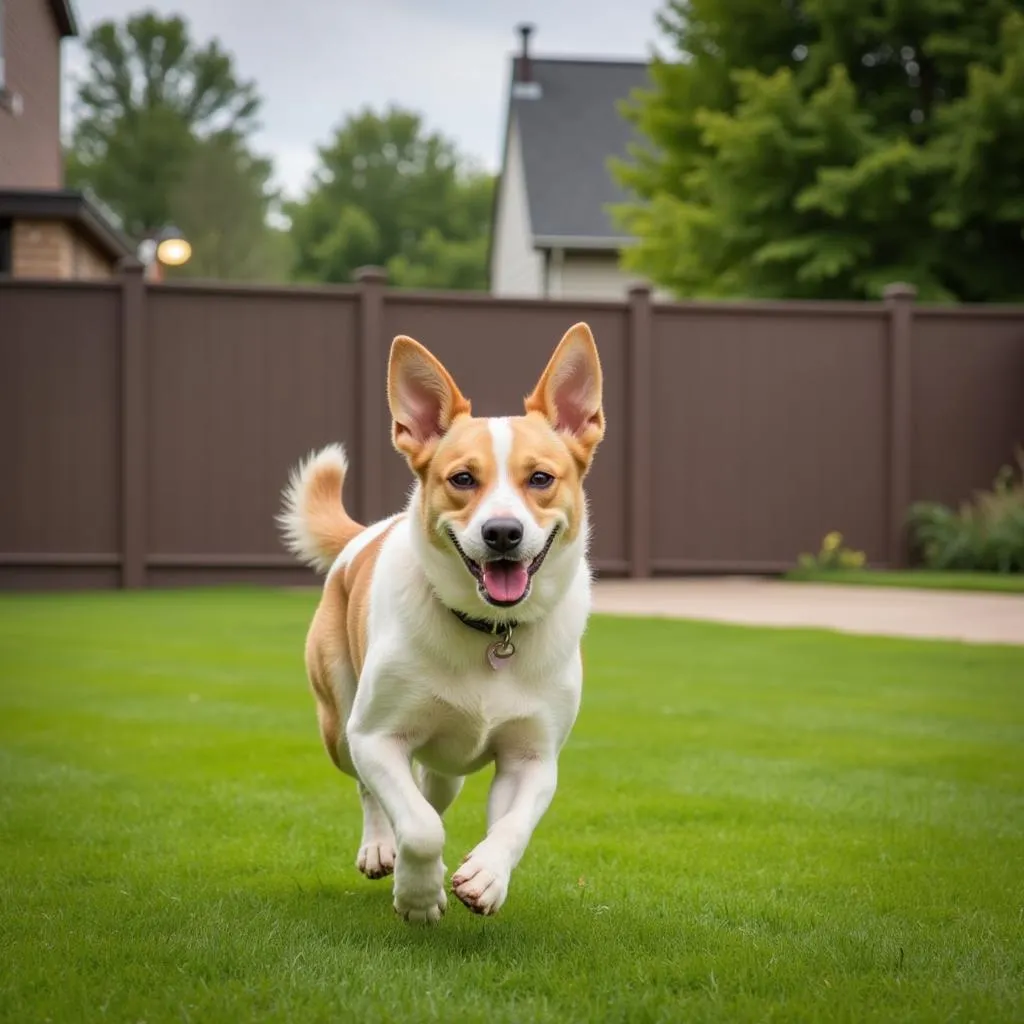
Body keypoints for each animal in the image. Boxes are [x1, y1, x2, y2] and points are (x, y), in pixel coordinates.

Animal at [276, 323, 602, 925]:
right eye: (463, 478)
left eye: (540, 478)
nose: (503, 533)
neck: (492, 632)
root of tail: (365, 533)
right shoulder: (375, 737)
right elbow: (421, 828)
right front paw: (418, 894)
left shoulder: (534, 756)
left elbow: (511, 826)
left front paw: (486, 876)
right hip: (339, 722)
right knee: (376, 794)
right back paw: (381, 847)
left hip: (446, 768)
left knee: (431, 791)